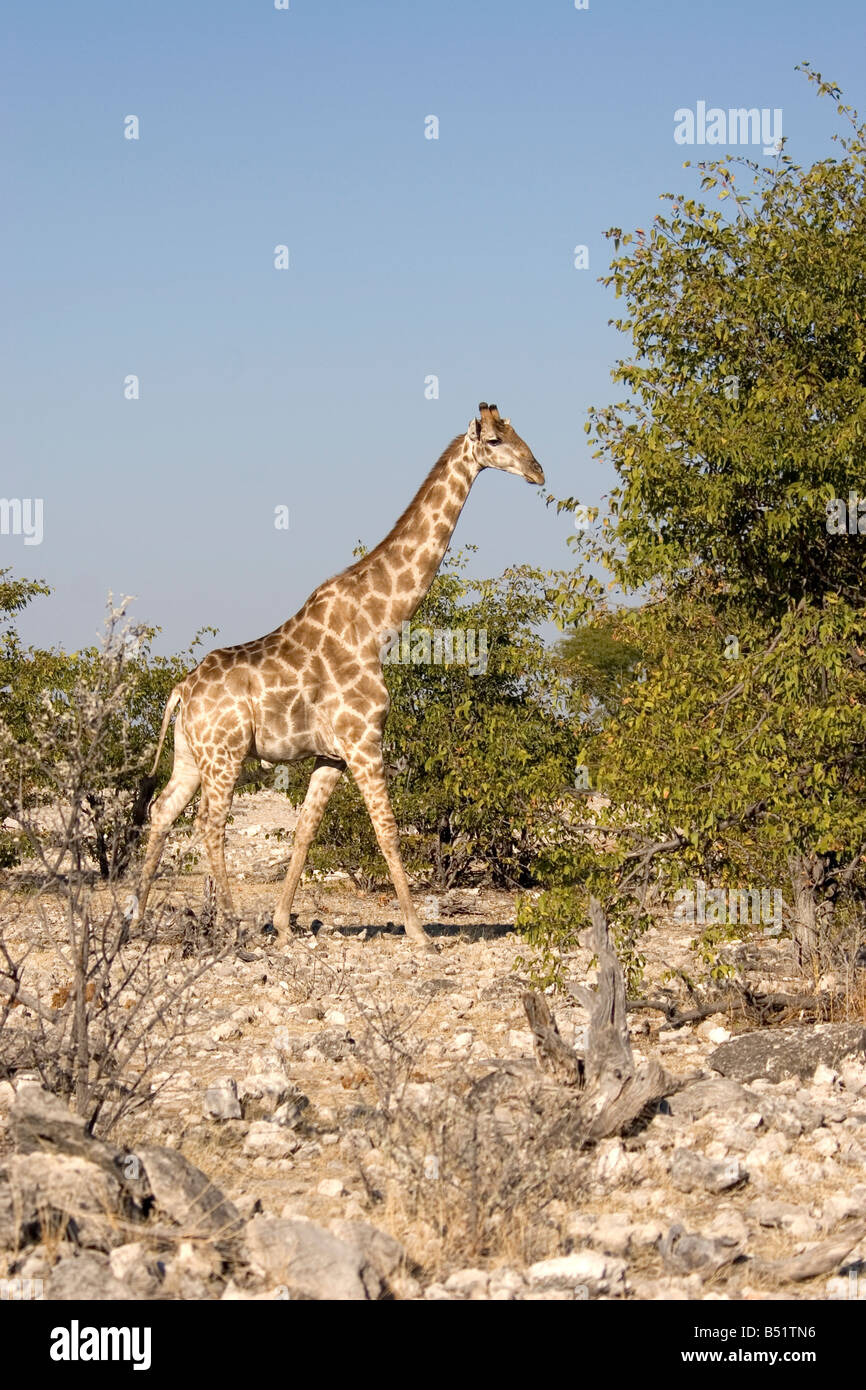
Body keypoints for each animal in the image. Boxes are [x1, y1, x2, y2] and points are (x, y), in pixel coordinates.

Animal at [134, 403, 544, 947]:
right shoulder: (365, 740)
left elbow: (306, 829)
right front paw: (419, 932)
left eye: (517, 432)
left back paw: (136, 919)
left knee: (163, 811)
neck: (378, 625)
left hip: (190, 754)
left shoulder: (331, 754)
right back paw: (232, 924)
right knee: (210, 821)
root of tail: (181, 690)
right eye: (495, 440)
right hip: (225, 754)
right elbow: (388, 830)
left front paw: (282, 923)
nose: (539, 471)